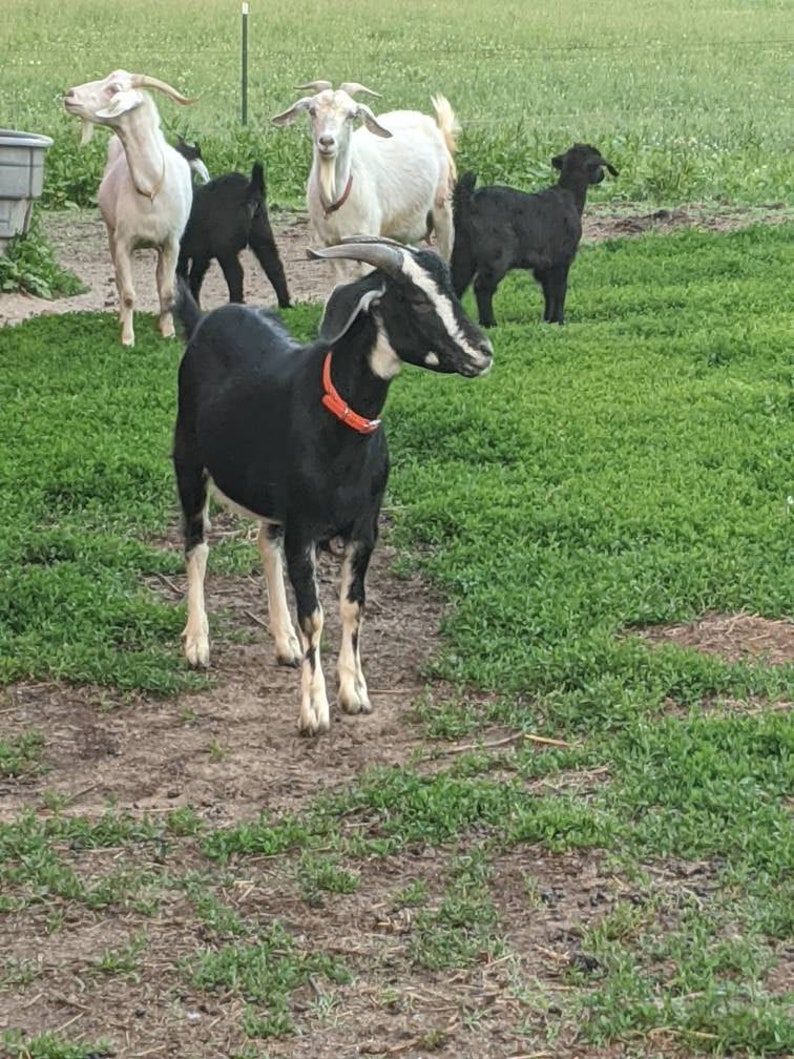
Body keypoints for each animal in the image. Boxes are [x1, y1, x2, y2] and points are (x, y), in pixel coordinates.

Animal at [62, 69, 195, 347]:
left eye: (114, 89)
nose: (69, 94)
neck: (151, 189)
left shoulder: (172, 244)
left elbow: (167, 290)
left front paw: (168, 332)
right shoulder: (124, 241)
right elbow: (128, 293)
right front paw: (127, 338)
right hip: (111, 232)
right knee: (120, 279)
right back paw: (123, 320)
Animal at [173, 237, 492, 735]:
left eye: (452, 291)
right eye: (417, 300)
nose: (483, 351)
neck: (337, 419)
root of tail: (206, 320)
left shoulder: (364, 528)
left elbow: (351, 607)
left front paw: (354, 692)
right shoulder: (305, 527)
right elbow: (315, 615)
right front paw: (313, 710)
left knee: (265, 541)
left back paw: (283, 643)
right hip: (188, 460)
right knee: (196, 544)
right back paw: (197, 643)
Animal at [174, 154, 291, 310]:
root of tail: (249, 189)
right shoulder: (201, 256)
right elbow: (194, 279)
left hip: (224, 248)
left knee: (236, 274)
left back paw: (235, 302)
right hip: (262, 236)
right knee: (274, 266)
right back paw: (285, 304)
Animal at [272, 81, 458, 281]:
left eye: (352, 115)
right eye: (312, 111)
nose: (327, 141)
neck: (336, 197)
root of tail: (431, 123)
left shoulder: (368, 240)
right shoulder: (329, 244)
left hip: (442, 208)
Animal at [451, 144, 618, 327]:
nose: (602, 176)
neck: (570, 194)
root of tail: (469, 201)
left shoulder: (544, 265)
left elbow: (549, 292)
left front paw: (549, 320)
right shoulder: (562, 259)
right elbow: (560, 290)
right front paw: (560, 321)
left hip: (463, 254)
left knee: (456, 284)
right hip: (497, 256)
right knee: (482, 287)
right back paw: (489, 323)